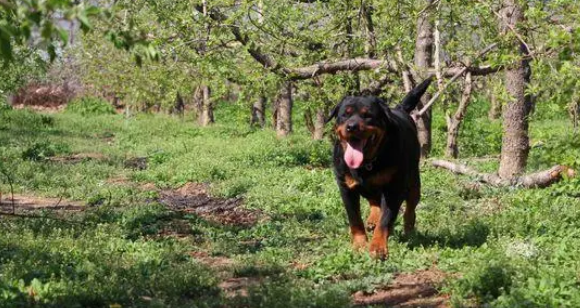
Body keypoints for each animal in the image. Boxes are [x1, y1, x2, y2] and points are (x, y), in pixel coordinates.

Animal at [326, 78, 430, 258]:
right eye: (345, 114)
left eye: (368, 115)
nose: (352, 126)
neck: (367, 162)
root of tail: (399, 108)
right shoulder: (346, 188)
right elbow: (355, 219)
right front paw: (359, 244)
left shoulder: (393, 189)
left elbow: (386, 220)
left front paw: (378, 246)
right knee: (374, 201)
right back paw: (373, 218)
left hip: (413, 182)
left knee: (410, 208)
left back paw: (409, 230)